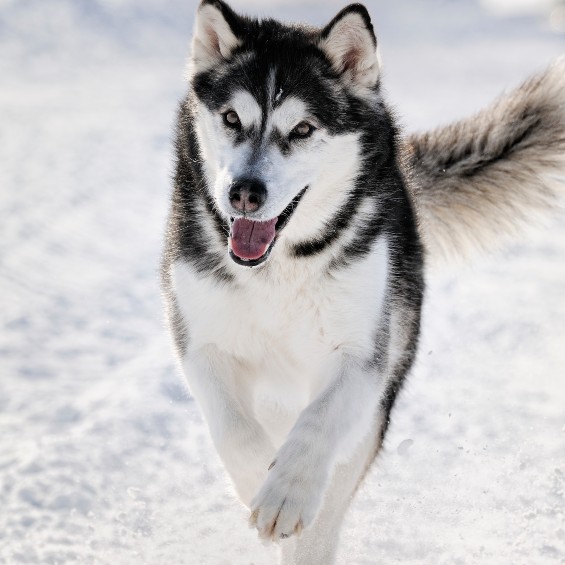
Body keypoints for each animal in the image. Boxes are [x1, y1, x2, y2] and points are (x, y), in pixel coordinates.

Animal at [160, 2, 564, 560]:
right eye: (231, 118)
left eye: (303, 129)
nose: (244, 193)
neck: (279, 268)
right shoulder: (202, 342)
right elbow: (234, 428)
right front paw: (257, 481)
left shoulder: (365, 356)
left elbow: (318, 425)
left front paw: (284, 493)